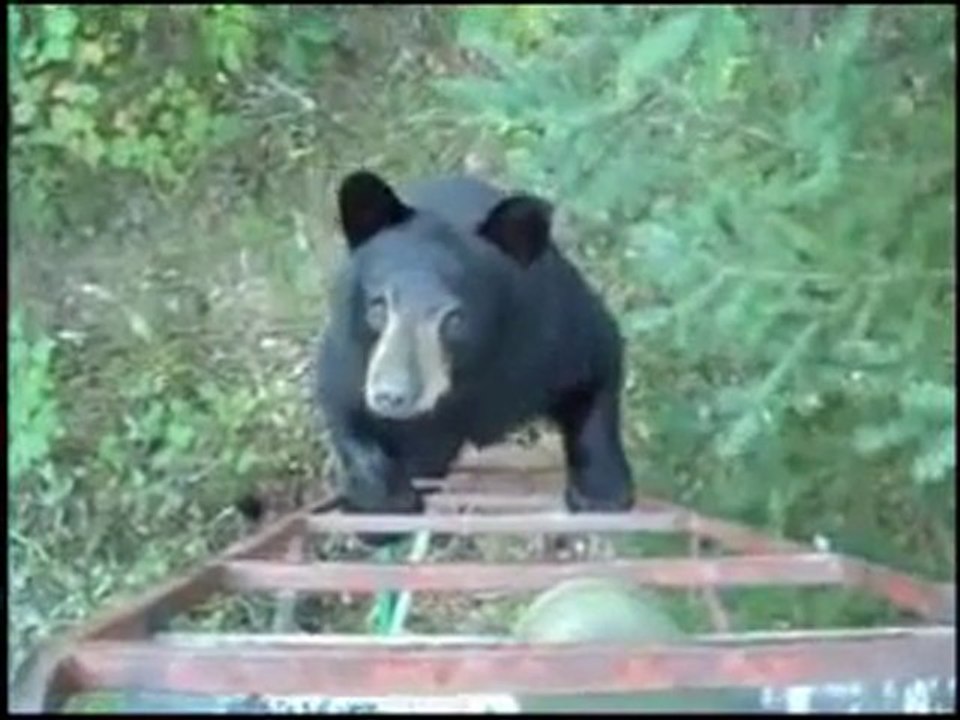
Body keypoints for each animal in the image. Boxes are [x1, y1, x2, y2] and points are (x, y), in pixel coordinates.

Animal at [312, 169, 634, 545]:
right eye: (378, 306)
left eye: (454, 318)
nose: (391, 395)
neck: (464, 379)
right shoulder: (353, 350)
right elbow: (341, 404)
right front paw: (381, 504)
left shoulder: (547, 334)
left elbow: (597, 368)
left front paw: (602, 493)